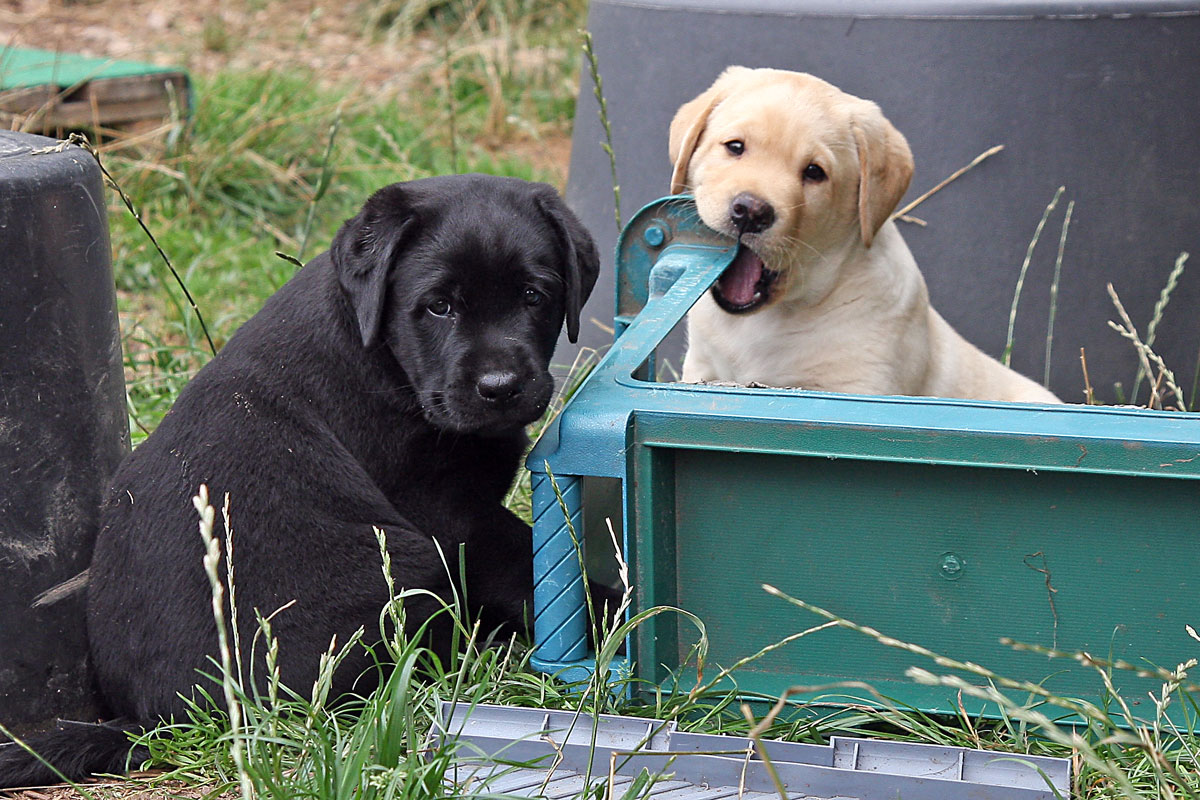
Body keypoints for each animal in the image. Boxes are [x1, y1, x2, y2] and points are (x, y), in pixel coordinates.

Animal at [0, 175, 600, 786]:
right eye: (438, 307)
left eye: (534, 296)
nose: (500, 387)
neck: (384, 354)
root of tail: (157, 723)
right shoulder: (451, 513)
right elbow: (526, 564)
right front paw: (606, 612)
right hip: (405, 566)